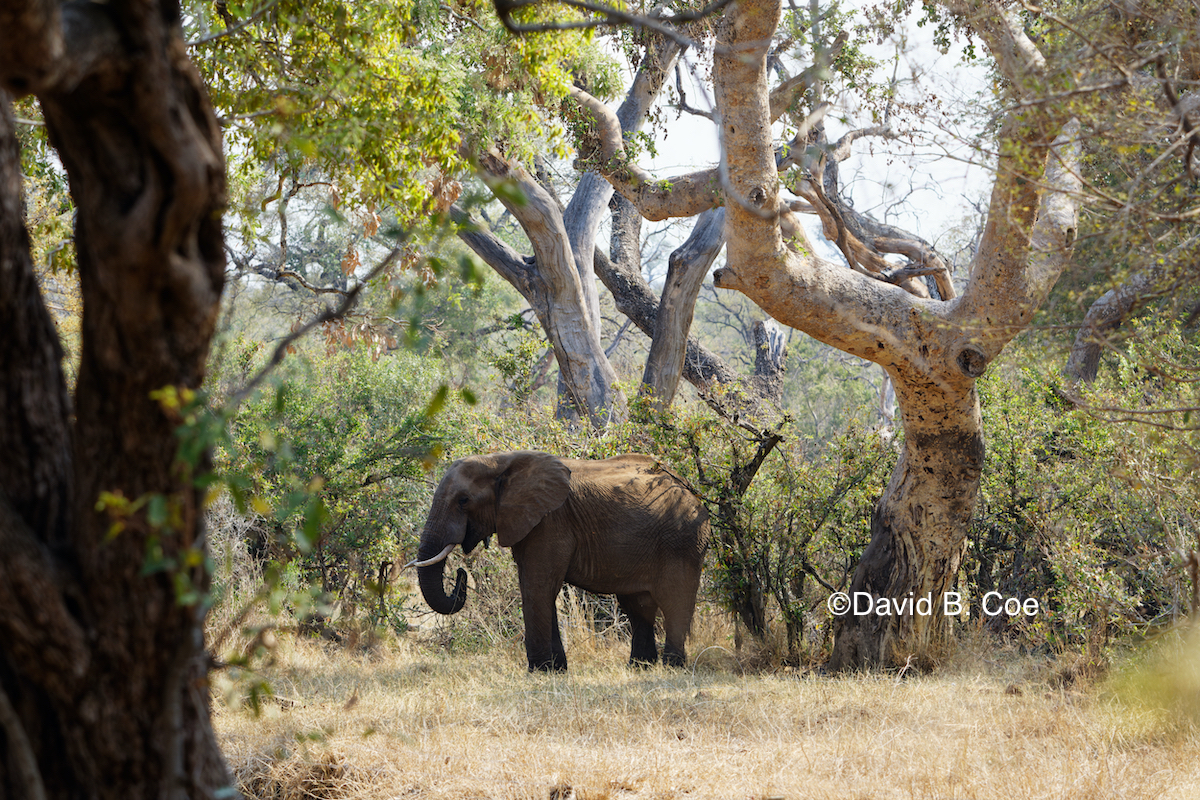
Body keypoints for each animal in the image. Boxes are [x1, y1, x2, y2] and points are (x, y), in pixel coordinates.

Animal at [412, 453, 710, 671]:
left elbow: (537, 587)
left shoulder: (550, 521)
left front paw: (540, 670)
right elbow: (538, 587)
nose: (461, 571)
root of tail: (694, 493)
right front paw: (557, 669)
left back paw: (672, 667)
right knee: (638, 606)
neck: (499, 461)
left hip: (682, 540)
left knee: (674, 601)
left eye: (463, 501)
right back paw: (640, 667)